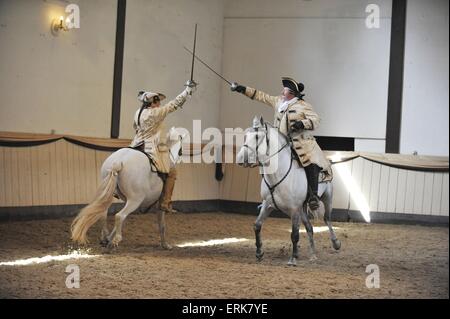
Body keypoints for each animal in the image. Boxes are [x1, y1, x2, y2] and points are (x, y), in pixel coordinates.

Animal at [237, 117, 340, 268]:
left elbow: (295, 234)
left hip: (327, 197)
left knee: (327, 219)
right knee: (309, 227)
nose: (240, 159)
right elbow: (257, 225)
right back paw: (313, 255)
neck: (277, 174)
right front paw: (259, 253)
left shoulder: (294, 209)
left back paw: (335, 243)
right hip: (303, 209)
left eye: (256, 136)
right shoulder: (268, 205)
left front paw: (293, 259)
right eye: (245, 136)